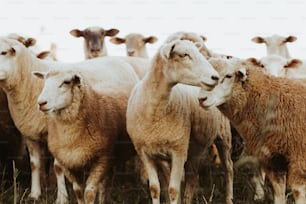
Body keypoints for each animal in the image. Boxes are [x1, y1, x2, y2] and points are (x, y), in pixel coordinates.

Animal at [32, 69, 136, 204]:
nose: (41, 103)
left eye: (66, 82)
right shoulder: (69, 163)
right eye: (44, 81)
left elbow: (89, 193)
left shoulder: (101, 159)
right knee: (103, 185)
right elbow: (78, 192)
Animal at [125, 39, 233, 204]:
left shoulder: (179, 151)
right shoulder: (145, 153)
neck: (154, 114)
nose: (215, 77)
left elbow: (173, 190)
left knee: (229, 168)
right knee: (192, 177)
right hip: (193, 149)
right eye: (184, 55)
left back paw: (229, 198)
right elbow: (155, 188)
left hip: (223, 136)